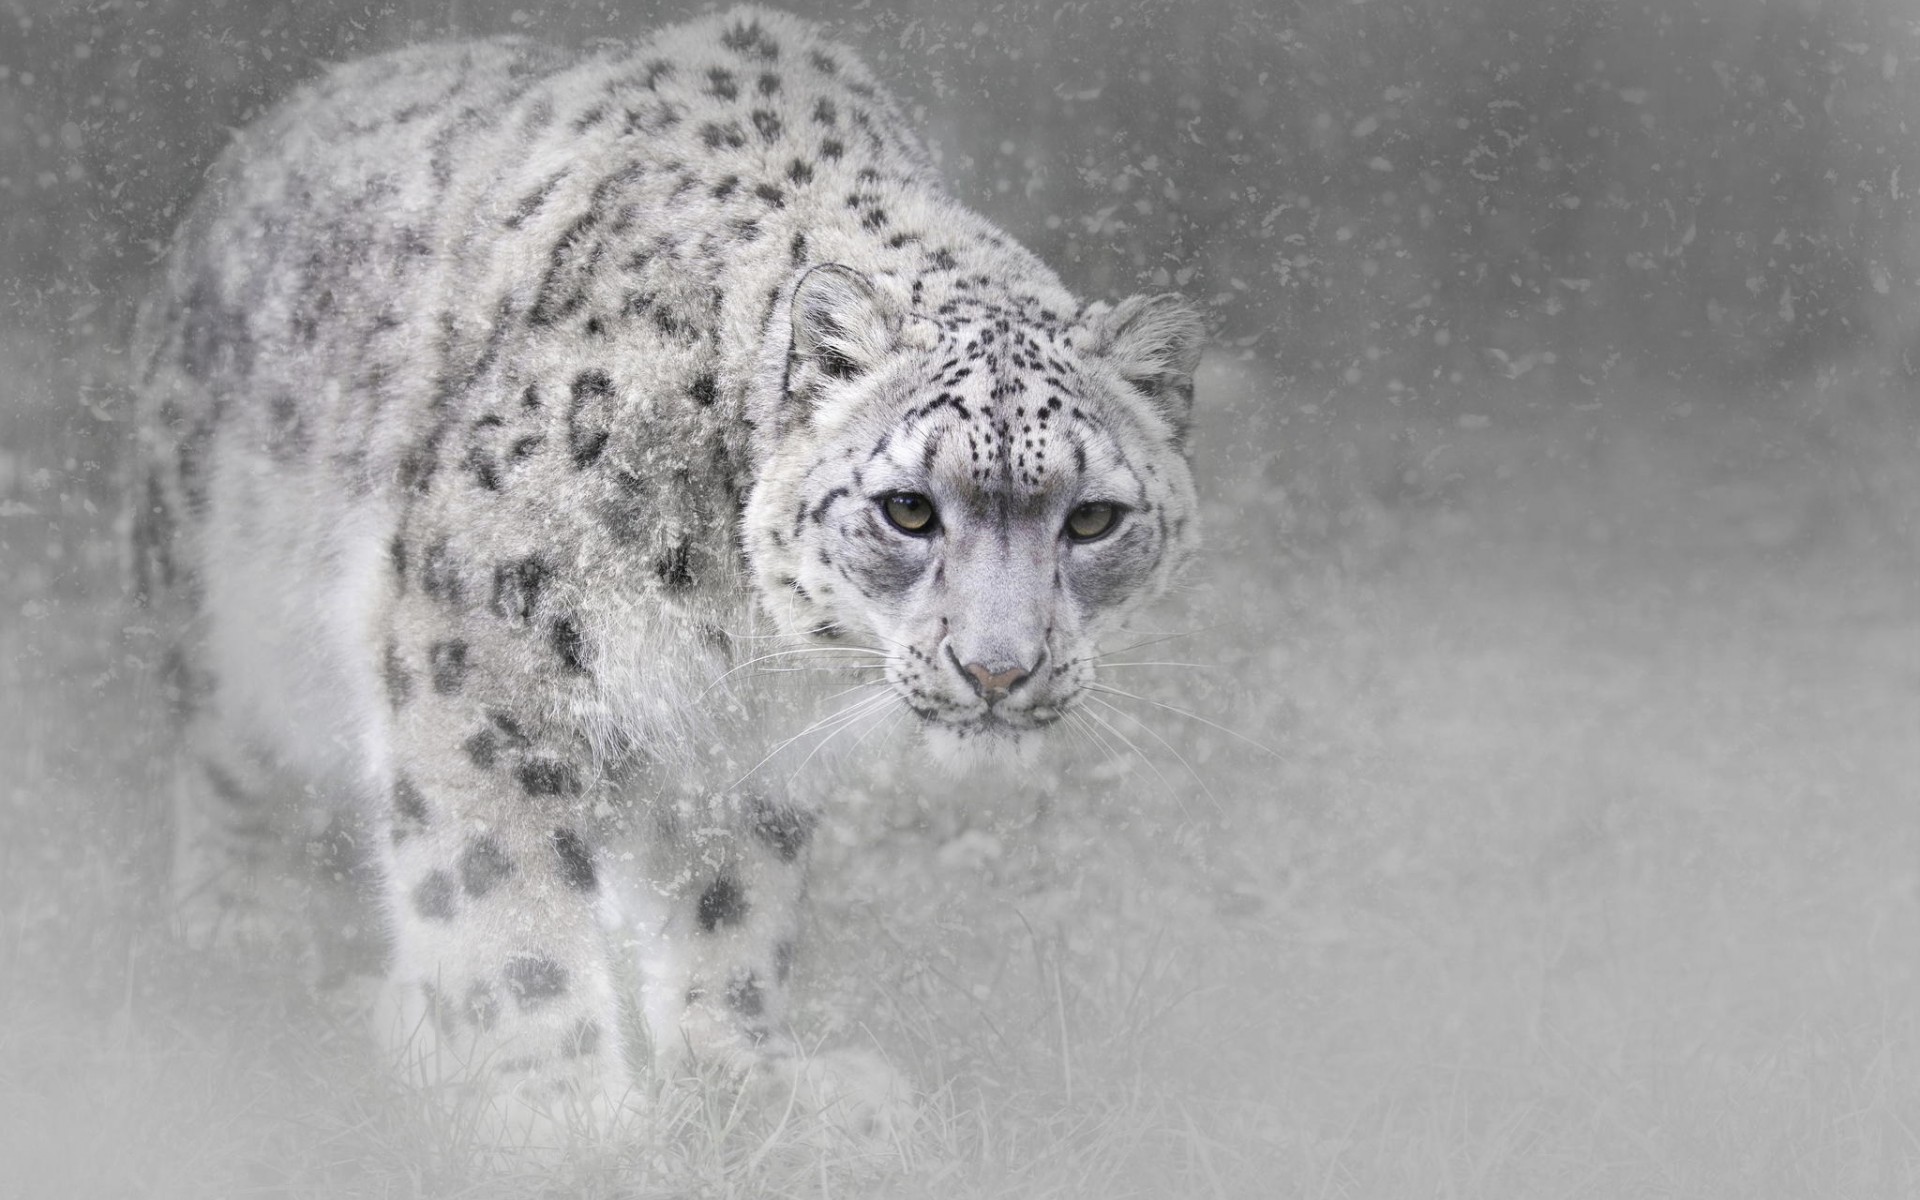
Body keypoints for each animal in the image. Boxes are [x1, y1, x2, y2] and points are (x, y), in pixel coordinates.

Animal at [130, 5, 1204, 1149]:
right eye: (909, 509)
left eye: (1092, 519)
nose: (999, 669)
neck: (733, 622)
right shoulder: (481, 652)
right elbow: (498, 887)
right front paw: (562, 1112)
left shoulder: (748, 748)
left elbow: (733, 903)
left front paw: (748, 1075)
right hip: (216, 594)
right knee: (226, 756)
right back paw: (249, 926)